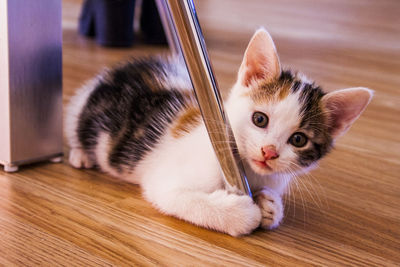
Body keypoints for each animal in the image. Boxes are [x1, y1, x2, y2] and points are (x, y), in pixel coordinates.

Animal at [64, 28, 374, 237]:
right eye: (260, 119)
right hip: (82, 109)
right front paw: (242, 213)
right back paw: (81, 155)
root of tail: (121, 69)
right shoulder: (165, 181)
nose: (269, 152)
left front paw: (270, 205)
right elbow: (181, 197)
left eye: (299, 139)